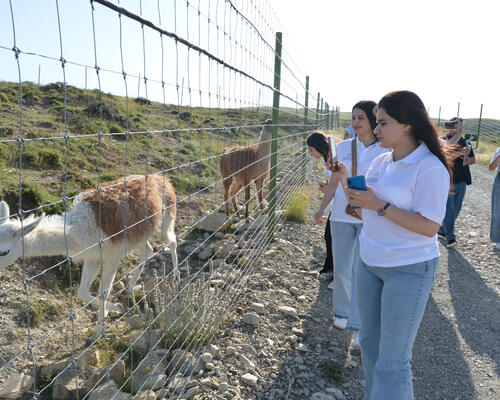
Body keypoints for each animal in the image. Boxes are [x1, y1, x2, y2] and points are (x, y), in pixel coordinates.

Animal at [0, 174, 177, 339]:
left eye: (4, 251)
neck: (75, 232)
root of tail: (160, 177)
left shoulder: (112, 256)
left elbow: (103, 292)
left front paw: (100, 330)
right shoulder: (92, 257)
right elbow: (82, 292)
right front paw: (112, 309)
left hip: (165, 220)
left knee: (172, 242)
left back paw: (176, 276)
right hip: (137, 236)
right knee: (148, 250)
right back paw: (128, 288)